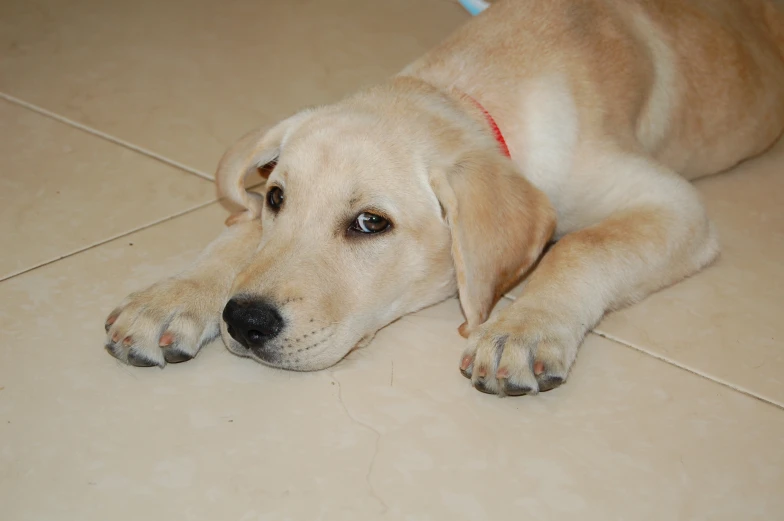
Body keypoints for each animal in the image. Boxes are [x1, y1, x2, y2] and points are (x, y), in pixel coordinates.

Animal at [102, 0, 784, 394]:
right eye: (275, 199)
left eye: (370, 223)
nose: (244, 322)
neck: (473, 87)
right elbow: (239, 239)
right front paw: (173, 296)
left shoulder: (673, 203)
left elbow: (584, 246)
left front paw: (525, 327)